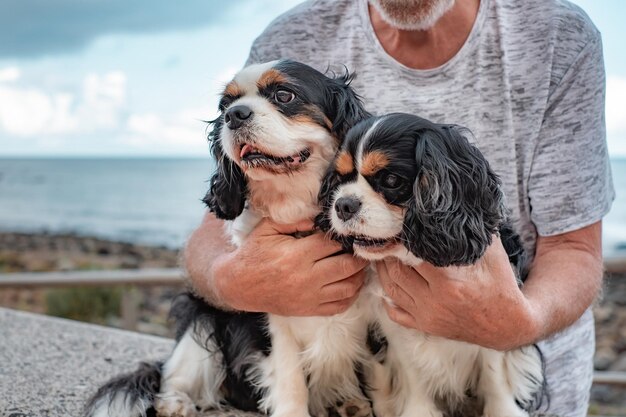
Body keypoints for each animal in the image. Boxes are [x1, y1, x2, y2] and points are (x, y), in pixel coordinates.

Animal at [314, 111, 544, 416]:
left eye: (391, 180)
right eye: (341, 177)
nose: (343, 204)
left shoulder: (494, 315)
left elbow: (494, 369)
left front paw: (503, 409)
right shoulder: (394, 328)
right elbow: (412, 373)